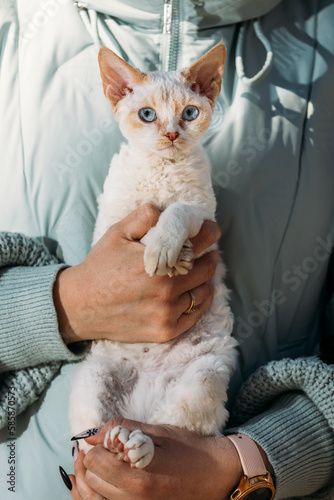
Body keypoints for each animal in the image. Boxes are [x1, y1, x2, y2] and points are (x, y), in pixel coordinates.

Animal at [70, 42, 237, 468]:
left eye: (190, 113)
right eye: (147, 115)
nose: (171, 133)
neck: (162, 168)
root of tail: (140, 409)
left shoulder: (202, 211)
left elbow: (175, 212)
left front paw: (170, 249)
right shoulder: (112, 219)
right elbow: (141, 224)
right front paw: (166, 252)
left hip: (205, 374)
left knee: (171, 430)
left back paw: (137, 447)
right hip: (92, 377)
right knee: (92, 440)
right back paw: (118, 444)